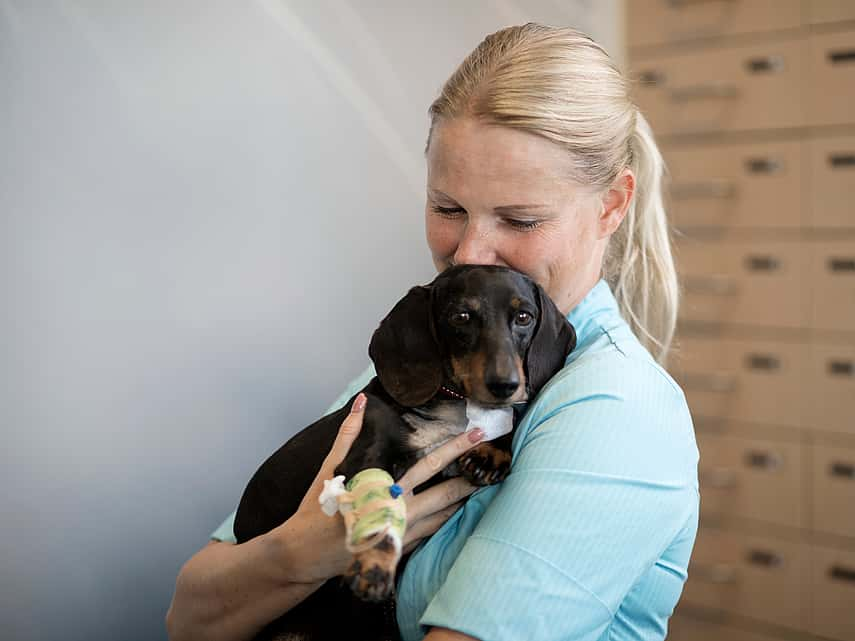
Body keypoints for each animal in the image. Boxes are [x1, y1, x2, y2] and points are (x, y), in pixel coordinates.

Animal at [234, 262, 576, 636]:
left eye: (524, 317)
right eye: (461, 316)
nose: (506, 386)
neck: (449, 407)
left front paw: (492, 451)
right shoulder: (363, 458)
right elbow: (380, 512)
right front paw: (374, 564)